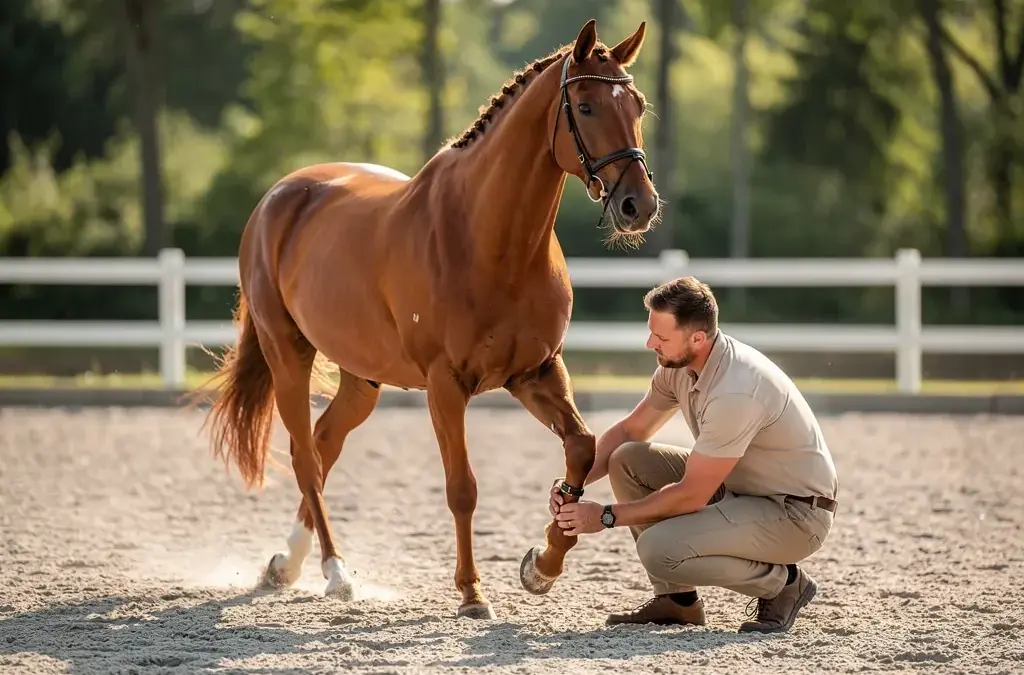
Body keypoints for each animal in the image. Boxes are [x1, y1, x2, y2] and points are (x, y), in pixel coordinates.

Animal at [199, 18, 659, 620]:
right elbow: (462, 488)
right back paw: (334, 573)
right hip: (287, 356)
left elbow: (582, 448)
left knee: (324, 444)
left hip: (362, 379)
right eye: (583, 106)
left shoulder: (536, 372)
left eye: (638, 105)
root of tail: (278, 197)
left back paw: (286, 565)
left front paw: (542, 565)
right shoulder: (445, 385)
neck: (492, 241)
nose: (638, 206)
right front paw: (472, 593)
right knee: (305, 457)